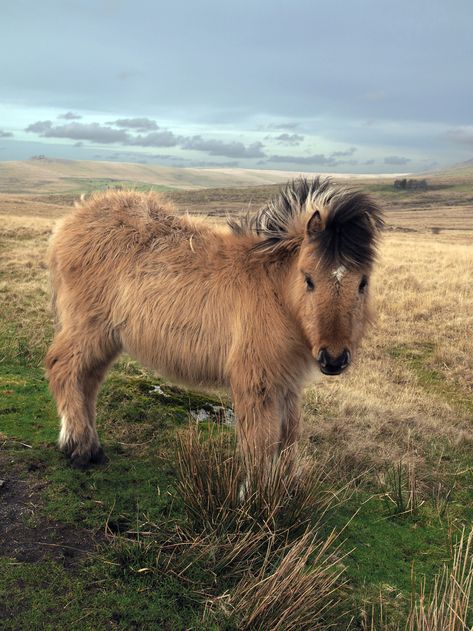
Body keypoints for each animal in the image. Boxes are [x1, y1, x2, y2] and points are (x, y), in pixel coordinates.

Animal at [44, 178, 384, 470]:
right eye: (309, 279)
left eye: (363, 282)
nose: (334, 359)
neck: (276, 292)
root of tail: (70, 222)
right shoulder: (255, 382)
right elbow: (260, 445)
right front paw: (255, 500)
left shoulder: (287, 384)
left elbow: (288, 440)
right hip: (88, 330)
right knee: (63, 368)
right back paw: (78, 448)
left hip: (107, 339)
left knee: (87, 381)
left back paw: (91, 446)